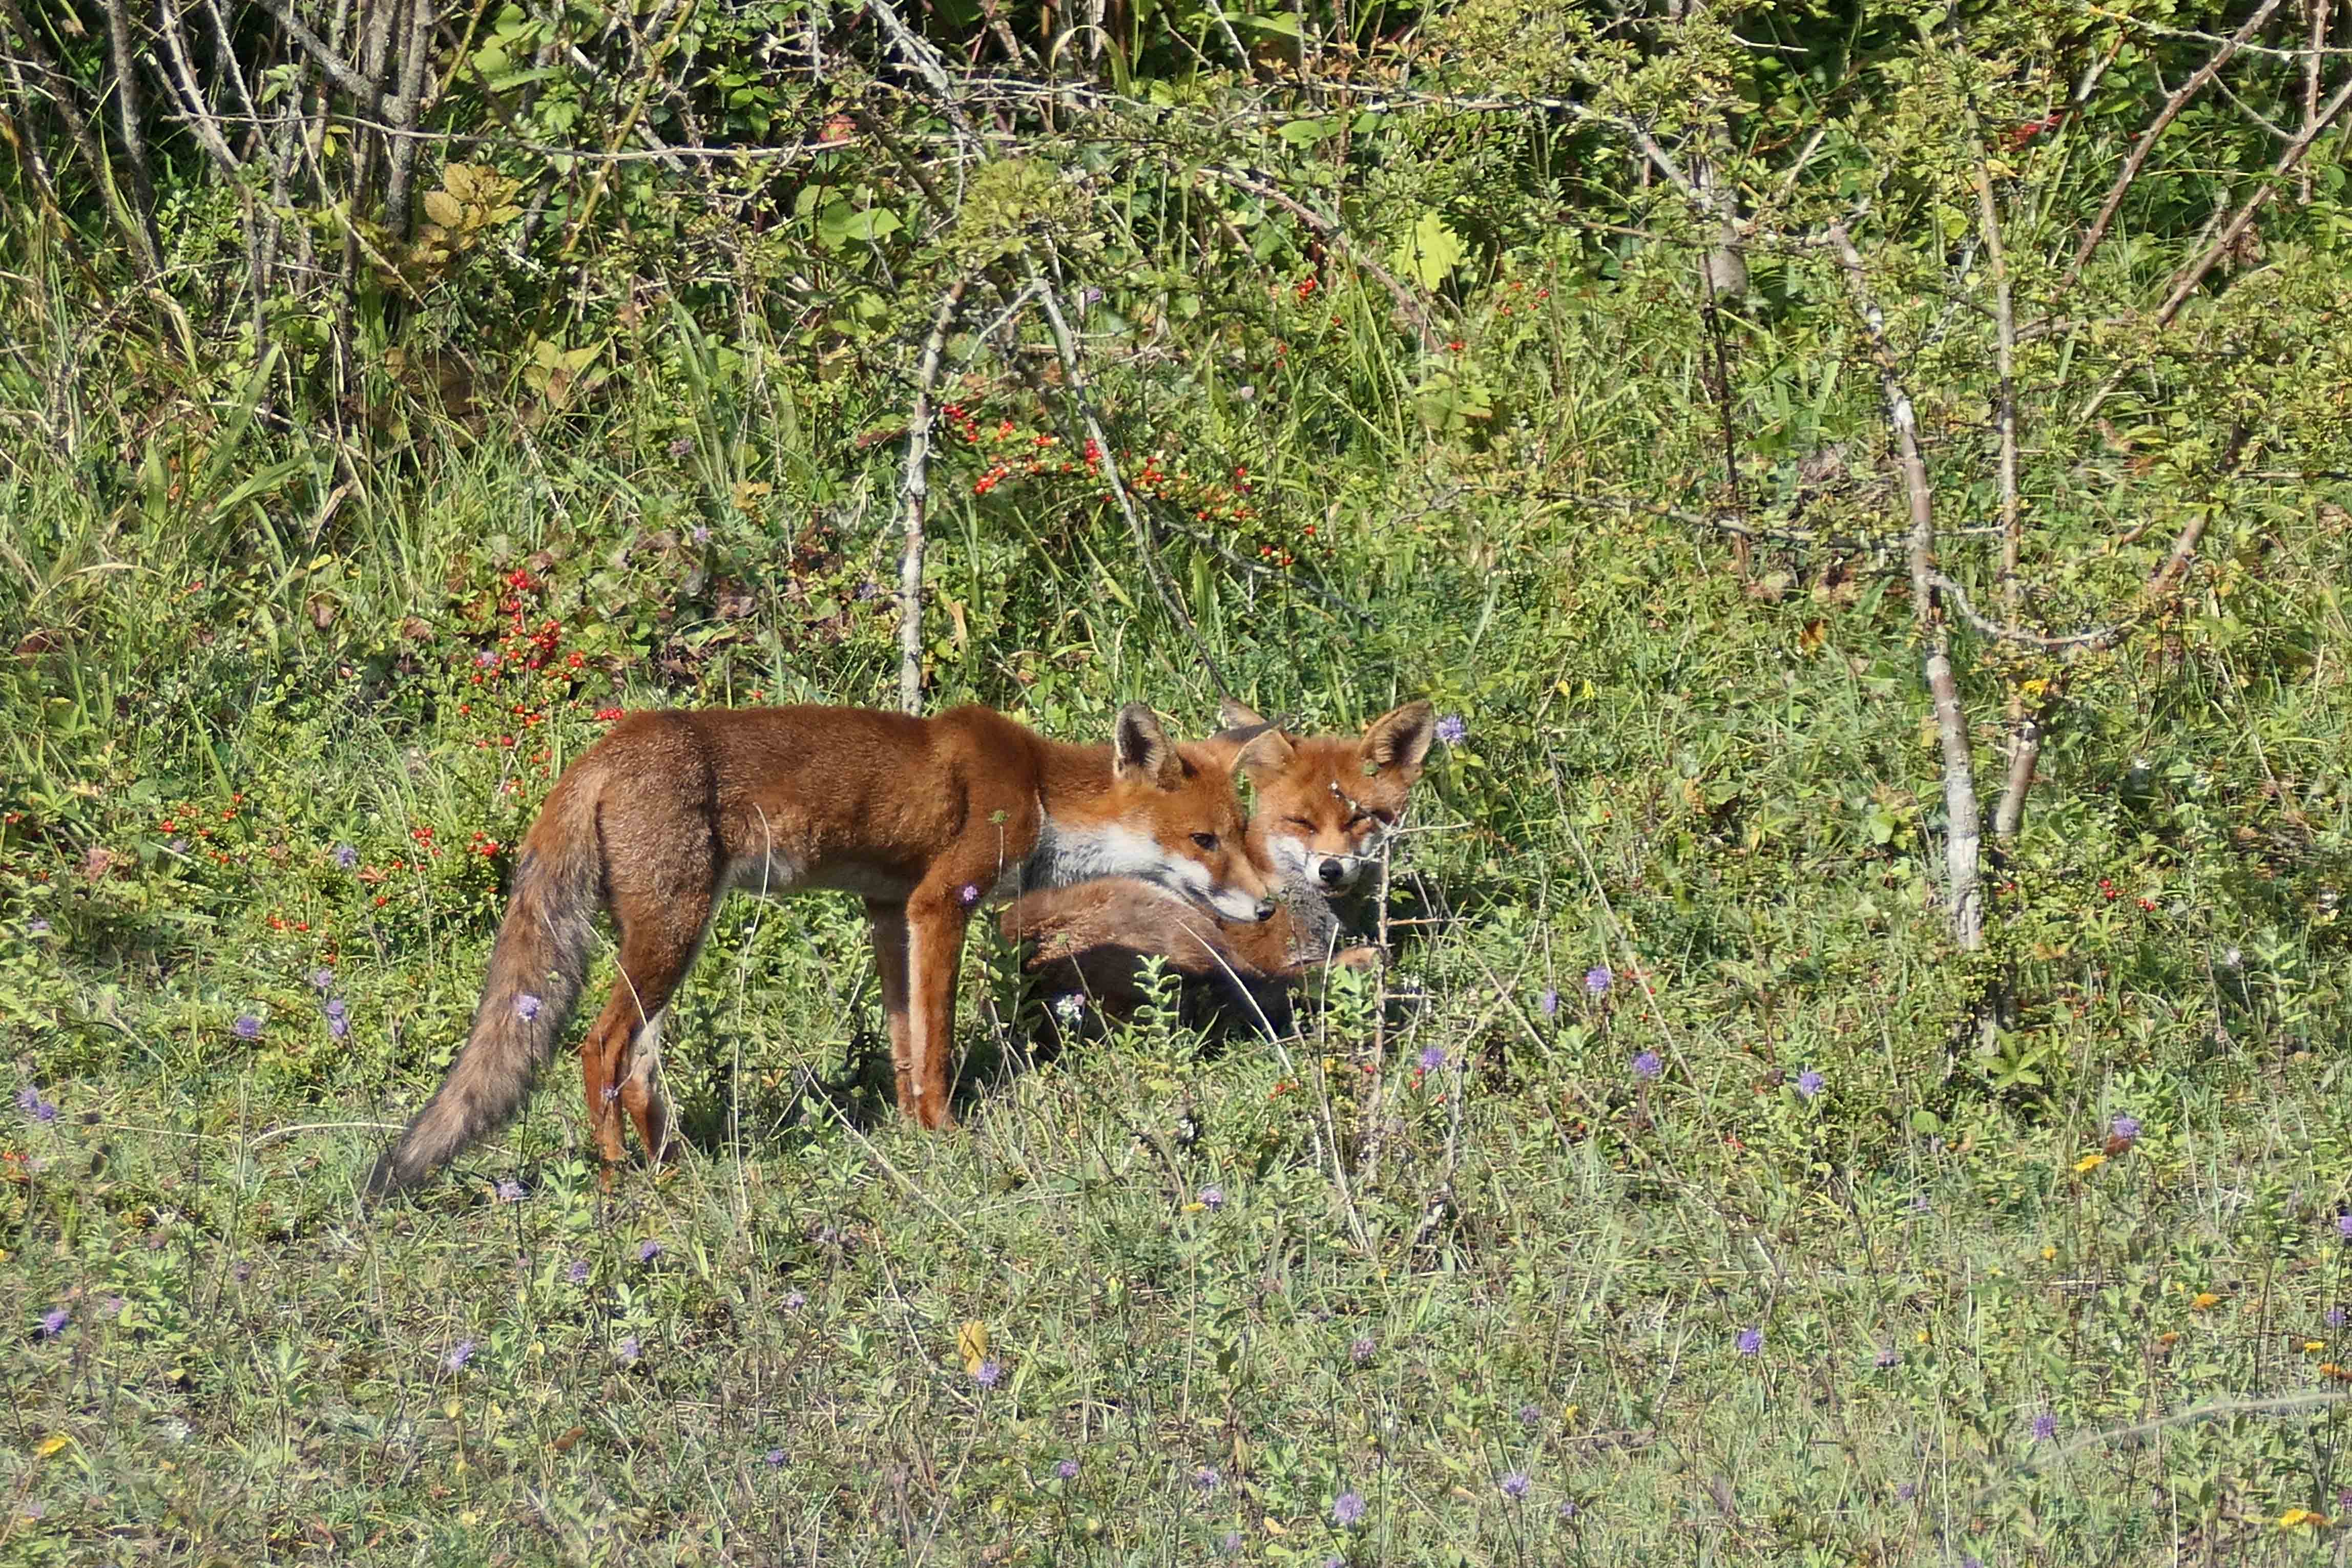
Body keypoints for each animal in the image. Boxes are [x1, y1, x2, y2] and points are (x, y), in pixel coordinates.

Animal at [364, 702, 1283, 1197]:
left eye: (1238, 833)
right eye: (1203, 840)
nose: (1269, 902)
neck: (1036, 789)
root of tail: (606, 748)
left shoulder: (887, 910)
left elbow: (907, 1042)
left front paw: (914, 1133)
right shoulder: (941, 901)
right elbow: (938, 1043)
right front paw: (947, 1133)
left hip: (670, 942)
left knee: (641, 1065)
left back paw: (672, 1166)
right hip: (671, 935)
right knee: (600, 1047)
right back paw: (620, 1177)